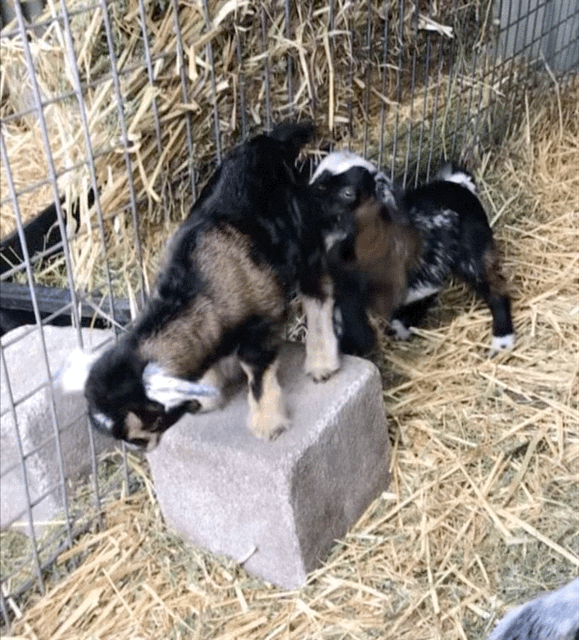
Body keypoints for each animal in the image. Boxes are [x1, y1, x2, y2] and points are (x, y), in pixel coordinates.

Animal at [64, 123, 345, 450]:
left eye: (149, 423)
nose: (140, 447)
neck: (195, 291)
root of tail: (269, 142)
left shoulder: (258, 330)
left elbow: (259, 379)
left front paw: (268, 425)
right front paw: (208, 399)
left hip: (304, 236)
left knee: (318, 293)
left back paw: (322, 363)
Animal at [310, 151, 515, 355]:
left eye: (348, 193)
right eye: (317, 175)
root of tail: (458, 185)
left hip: (475, 249)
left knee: (494, 287)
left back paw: (502, 340)